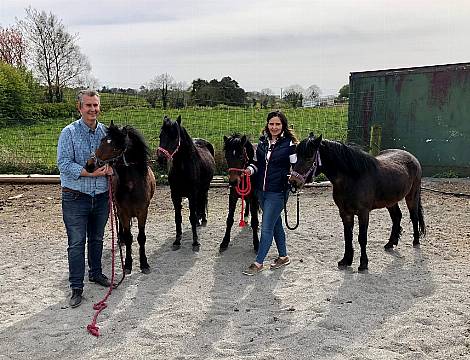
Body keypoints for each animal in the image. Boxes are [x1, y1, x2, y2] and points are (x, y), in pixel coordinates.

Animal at [84, 122, 156, 274]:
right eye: (102, 140)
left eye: (116, 148)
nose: (90, 165)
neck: (132, 185)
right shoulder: (124, 212)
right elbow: (129, 238)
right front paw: (127, 264)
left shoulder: (143, 212)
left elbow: (141, 238)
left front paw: (144, 263)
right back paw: (120, 239)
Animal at [158, 115, 217, 250]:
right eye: (160, 136)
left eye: (175, 137)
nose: (161, 159)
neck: (182, 169)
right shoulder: (175, 195)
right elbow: (178, 218)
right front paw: (177, 240)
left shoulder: (192, 194)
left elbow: (191, 216)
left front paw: (195, 242)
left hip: (204, 188)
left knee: (203, 200)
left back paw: (203, 219)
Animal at [290, 134, 426, 272]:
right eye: (297, 155)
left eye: (309, 157)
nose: (293, 181)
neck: (352, 179)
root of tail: (412, 157)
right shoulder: (344, 213)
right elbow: (348, 236)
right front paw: (346, 260)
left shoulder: (363, 213)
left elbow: (362, 238)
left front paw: (363, 264)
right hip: (390, 201)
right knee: (397, 217)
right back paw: (390, 244)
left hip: (412, 196)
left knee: (414, 216)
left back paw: (416, 242)